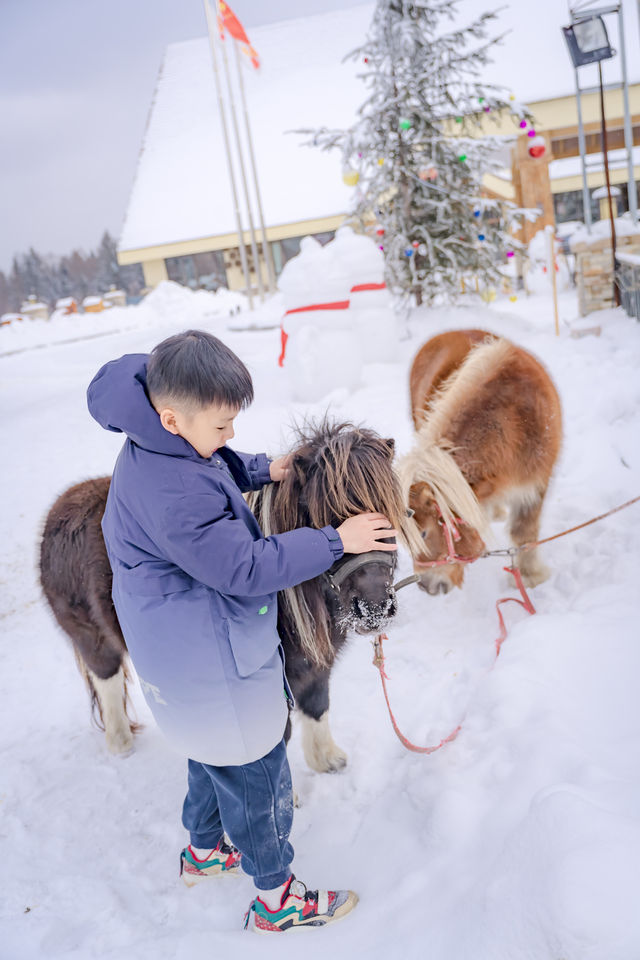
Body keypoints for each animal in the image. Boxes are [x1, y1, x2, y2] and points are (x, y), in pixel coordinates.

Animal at [400, 330, 560, 592]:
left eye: (423, 534)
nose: (427, 586)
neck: (515, 422)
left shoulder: (535, 485)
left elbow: (524, 533)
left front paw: (530, 576)